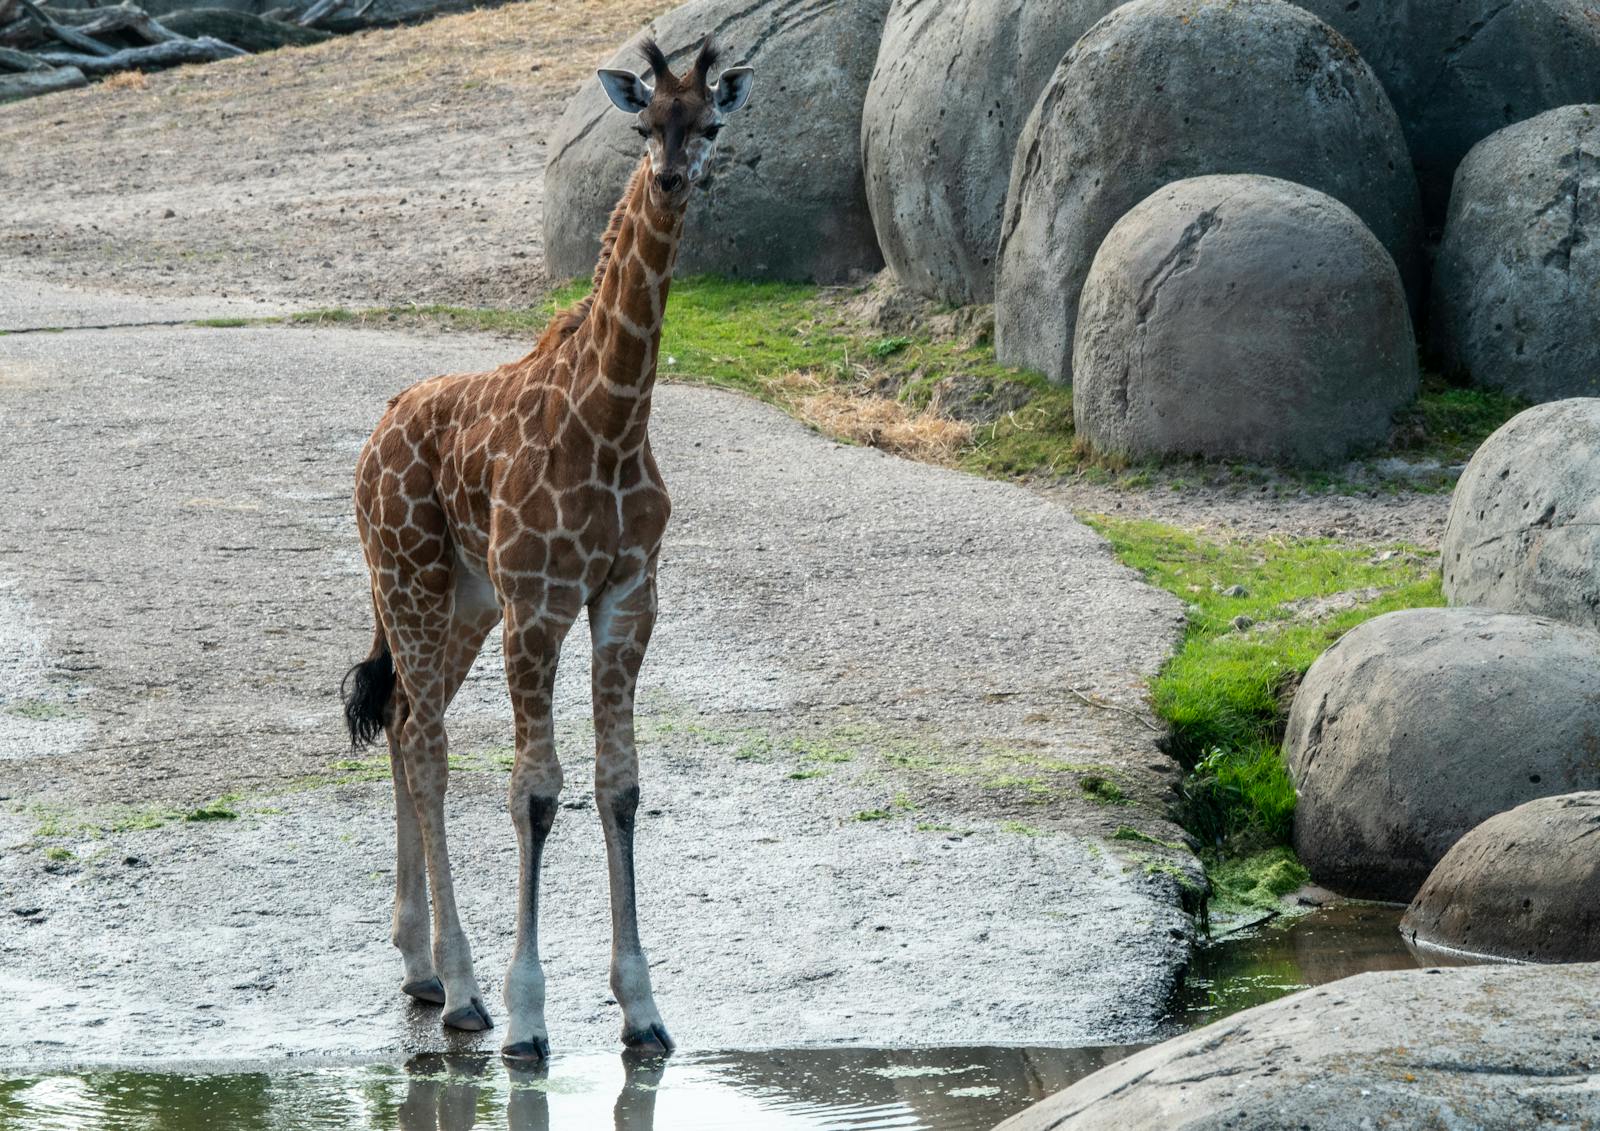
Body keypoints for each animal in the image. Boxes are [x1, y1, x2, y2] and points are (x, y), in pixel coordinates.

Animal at [339, 37, 754, 1061]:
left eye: (710, 123)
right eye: (644, 124)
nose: (672, 178)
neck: (612, 419)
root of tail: (376, 435)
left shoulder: (627, 598)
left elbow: (619, 786)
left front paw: (643, 1008)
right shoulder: (540, 603)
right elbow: (534, 790)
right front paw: (528, 1014)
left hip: (463, 599)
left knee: (403, 720)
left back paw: (419, 962)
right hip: (410, 577)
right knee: (428, 738)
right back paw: (463, 989)